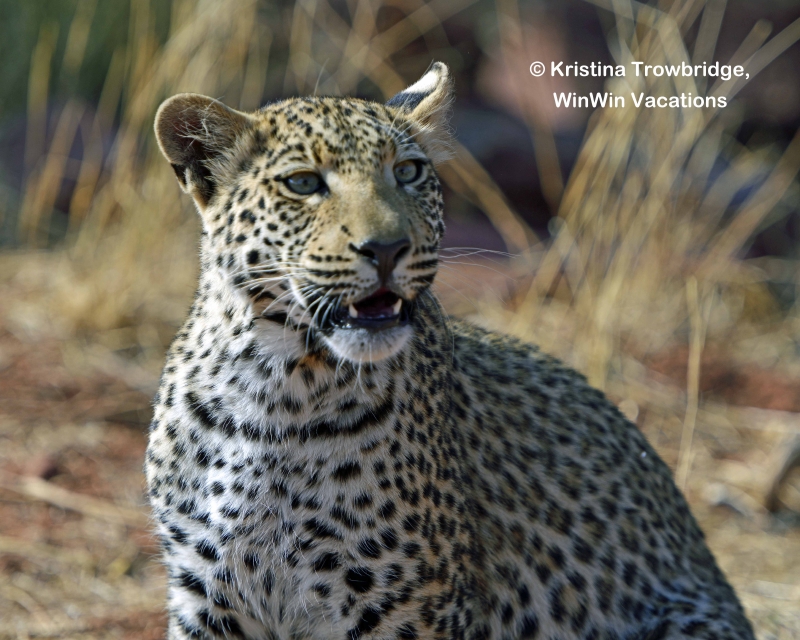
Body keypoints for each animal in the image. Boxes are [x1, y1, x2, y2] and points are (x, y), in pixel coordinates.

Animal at [145, 62, 756, 640]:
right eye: (302, 183)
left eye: (407, 171)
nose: (388, 248)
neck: (274, 381)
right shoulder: (206, 593)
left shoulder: (405, 605)